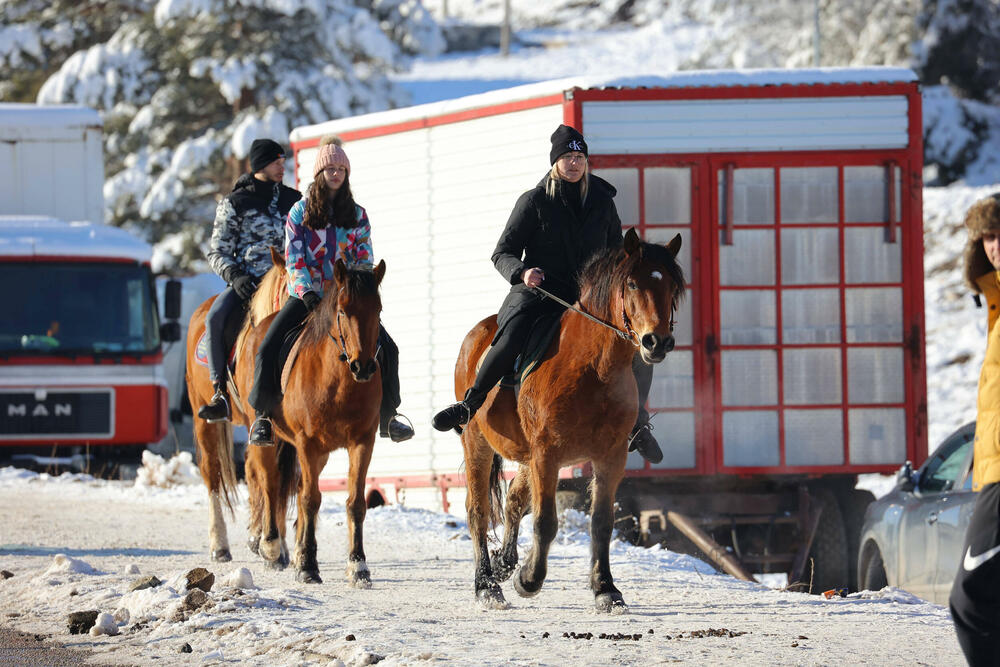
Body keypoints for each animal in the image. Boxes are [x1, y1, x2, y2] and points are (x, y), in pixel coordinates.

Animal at [188, 253, 386, 588]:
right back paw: (241, 545)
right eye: (342, 310)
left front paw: (357, 566)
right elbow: (308, 498)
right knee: (237, 477)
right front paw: (306, 565)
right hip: (215, 422)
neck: (338, 382)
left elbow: (355, 502)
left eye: (379, 310)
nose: (363, 366)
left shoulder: (362, 441)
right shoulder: (307, 443)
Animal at [458, 230, 684, 612]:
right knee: (478, 512)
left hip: (526, 456)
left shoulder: (609, 456)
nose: (657, 342)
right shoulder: (548, 453)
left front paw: (606, 589)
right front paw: (528, 579)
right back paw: (487, 585)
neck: (594, 368)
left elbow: (601, 522)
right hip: (478, 442)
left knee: (514, 500)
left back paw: (504, 563)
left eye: (671, 285)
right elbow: (546, 521)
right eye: (633, 284)